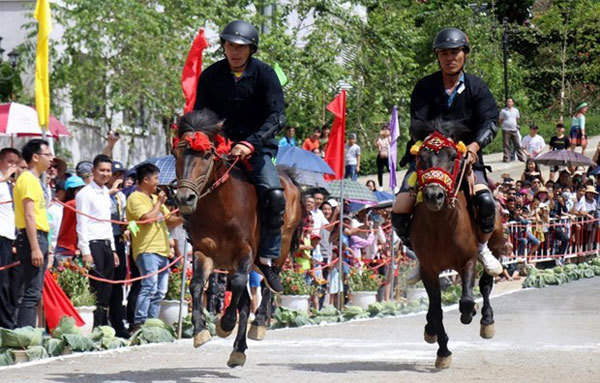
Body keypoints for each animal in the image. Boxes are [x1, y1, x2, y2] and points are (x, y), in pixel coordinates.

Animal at [173, 109, 304, 368]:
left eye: (205, 155)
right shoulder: (204, 251)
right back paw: (238, 350)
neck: (220, 209)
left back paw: (259, 323)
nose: (185, 198)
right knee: (244, 300)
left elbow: (239, 284)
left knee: (268, 282)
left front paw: (225, 323)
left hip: (280, 246)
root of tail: (289, 178)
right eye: (177, 153)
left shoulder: (245, 252)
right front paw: (201, 331)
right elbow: (196, 284)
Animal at [410, 122, 504, 368]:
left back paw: (486, 319)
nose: (434, 195)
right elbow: (436, 310)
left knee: (486, 283)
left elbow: (467, 299)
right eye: (421, 157)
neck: (441, 224)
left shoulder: (467, 260)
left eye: (453, 156)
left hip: (497, 242)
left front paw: (469, 313)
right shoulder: (429, 269)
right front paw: (442, 349)